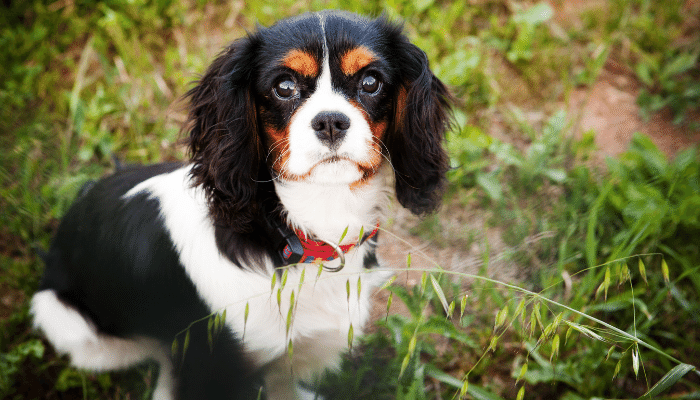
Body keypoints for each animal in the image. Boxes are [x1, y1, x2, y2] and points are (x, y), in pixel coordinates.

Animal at [31, 10, 448, 400]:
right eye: (284, 86)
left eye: (370, 82)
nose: (331, 121)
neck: (302, 229)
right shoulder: (212, 366)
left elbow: (283, 385)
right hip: (70, 326)